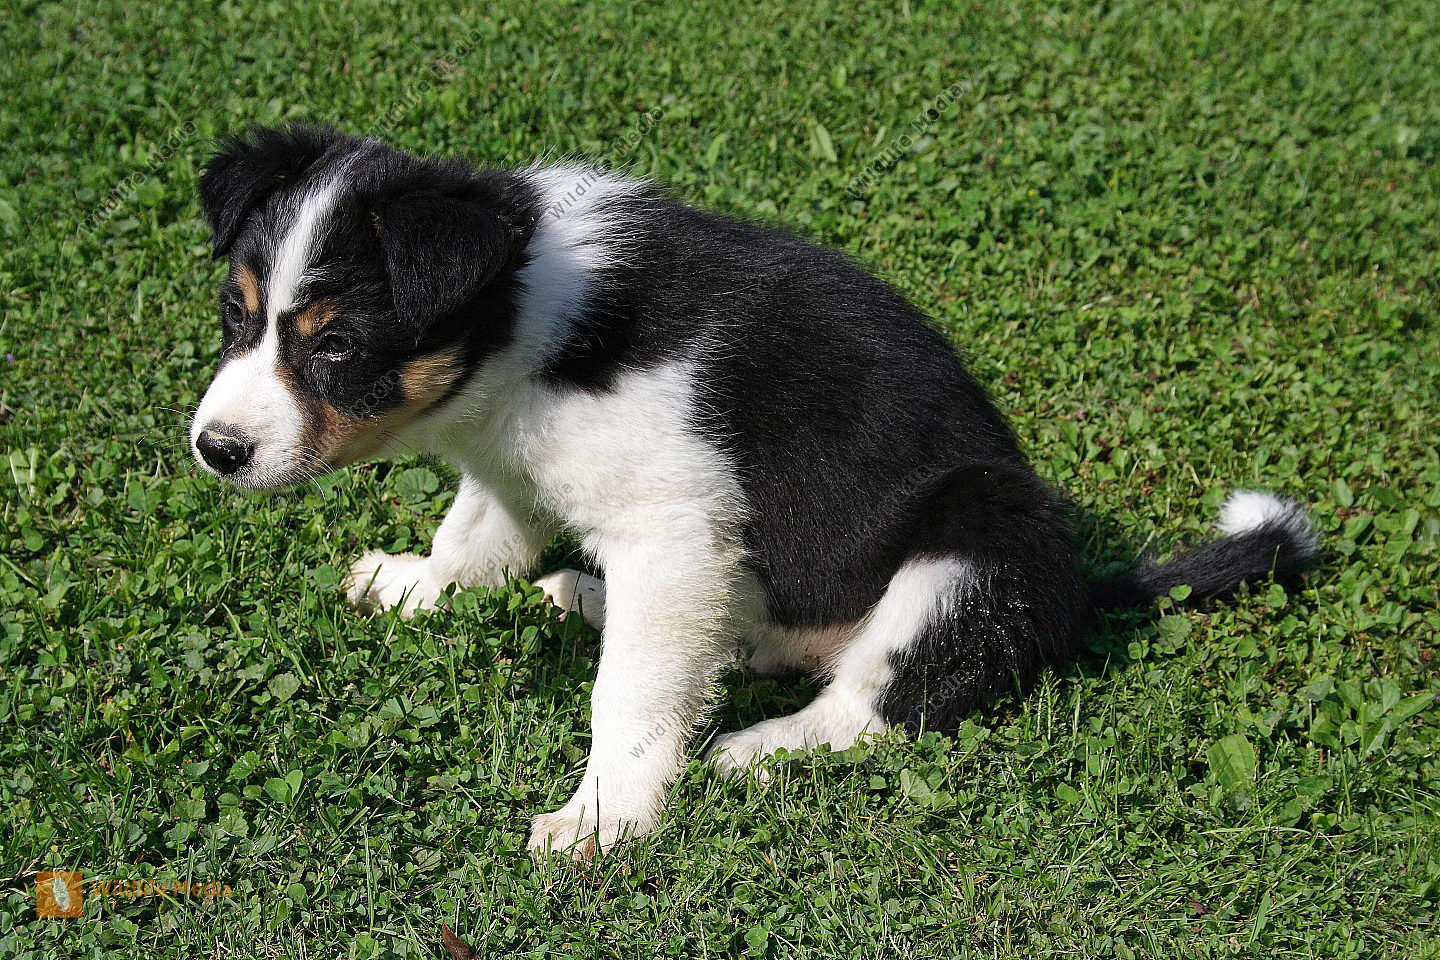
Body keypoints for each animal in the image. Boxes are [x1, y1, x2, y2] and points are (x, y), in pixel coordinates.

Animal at [188, 124, 1319, 858]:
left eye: (338, 344)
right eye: (236, 317)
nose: (216, 449)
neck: (519, 320)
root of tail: (1084, 587)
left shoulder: (675, 526)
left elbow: (627, 694)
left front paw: (602, 819)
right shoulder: (520, 471)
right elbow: (477, 539)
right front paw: (412, 585)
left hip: (976, 539)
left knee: (872, 703)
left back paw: (753, 749)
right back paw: (592, 597)